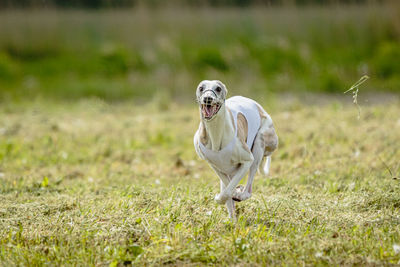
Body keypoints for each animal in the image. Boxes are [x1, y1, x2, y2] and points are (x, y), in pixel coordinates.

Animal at [194, 80, 278, 222]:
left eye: (218, 88)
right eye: (201, 88)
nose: (207, 99)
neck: (216, 133)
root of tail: (259, 107)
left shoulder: (247, 160)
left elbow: (228, 192)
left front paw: (225, 196)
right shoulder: (216, 167)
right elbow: (228, 188)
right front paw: (232, 195)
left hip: (260, 143)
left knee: (248, 189)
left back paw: (242, 195)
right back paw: (232, 219)